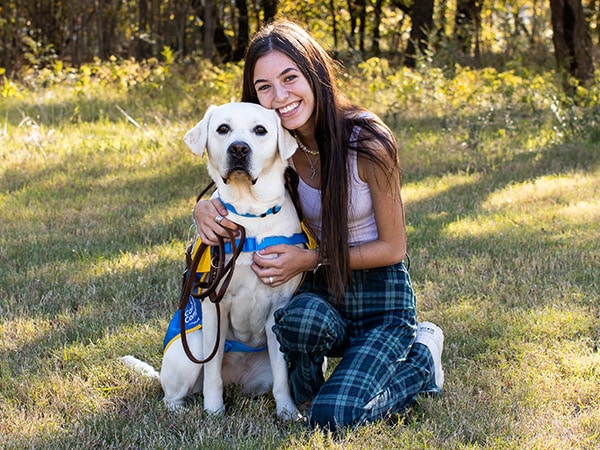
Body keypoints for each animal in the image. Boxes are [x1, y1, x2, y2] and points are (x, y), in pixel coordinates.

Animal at [159, 103, 302, 420]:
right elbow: (212, 372)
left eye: (260, 130)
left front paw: (287, 411)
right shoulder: (215, 306)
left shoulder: (279, 307)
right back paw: (182, 410)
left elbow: (283, 376)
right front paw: (214, 411)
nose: (238, 148)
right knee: (172, 395)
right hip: (191, 347)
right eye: (223, 128)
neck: (250, 215)